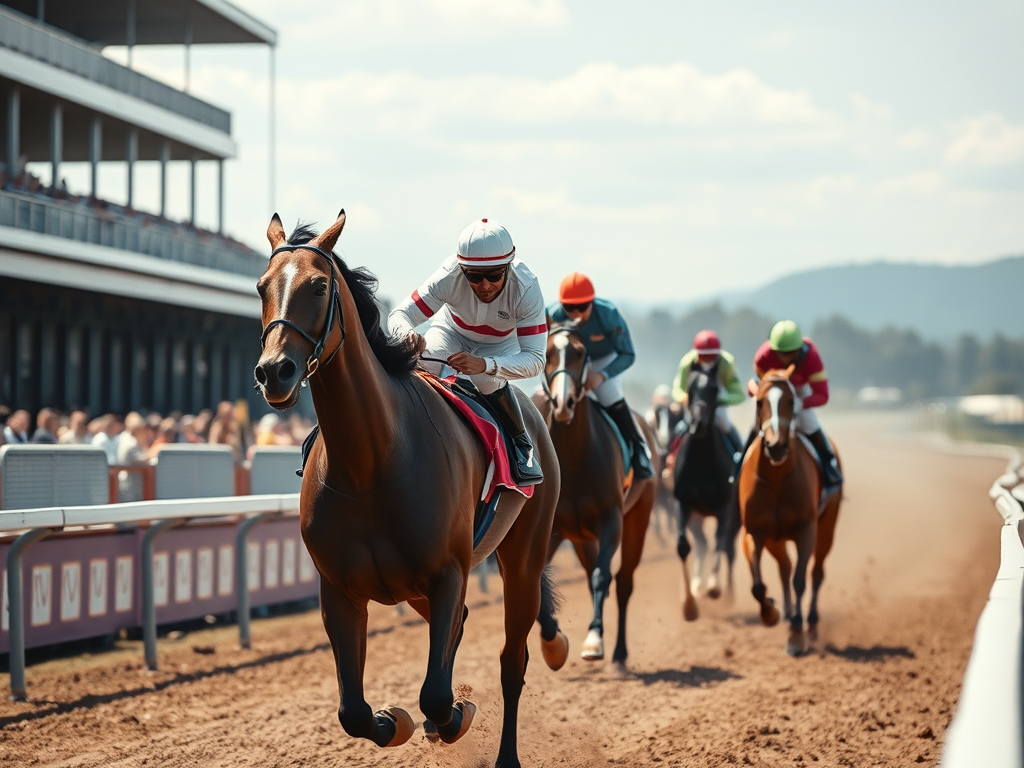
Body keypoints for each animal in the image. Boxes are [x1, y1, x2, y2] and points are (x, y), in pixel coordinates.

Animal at [254, 210, 567, 768]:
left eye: (318, 286)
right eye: (261, 286)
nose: (275, 372)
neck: (370, 465)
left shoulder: (448, 572)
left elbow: (437, 695)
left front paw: (454, 717)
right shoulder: (339, 589)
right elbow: (353, 712)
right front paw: (395, 721)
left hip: (523, 558)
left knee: (513, 660)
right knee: (462, 626)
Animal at [533, 322, 659, 665]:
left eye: (579, 353)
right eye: (548, 351)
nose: (563, 403)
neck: (575, 456)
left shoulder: (611, 520)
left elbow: (605, 577)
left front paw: (593, 641)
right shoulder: (552, 529)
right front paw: (553, 647)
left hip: (639, 518)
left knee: (623, 581)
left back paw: (618, 652)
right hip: (581, 538)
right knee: (591, 575)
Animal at [671, 362, 740, 621]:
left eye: (713, 389)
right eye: (690, 388)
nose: (697, 424)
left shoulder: (725, 506)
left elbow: (720, 540)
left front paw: (714, 587)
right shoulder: (682, 503)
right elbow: (683, 546)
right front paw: (689, 605)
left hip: (736, 515)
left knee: (729, 547)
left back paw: (728, 593)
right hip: (696, 517)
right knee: (700, 543)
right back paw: (697, 585)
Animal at [738, 369, 842, 657]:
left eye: (791, 401)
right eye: (759, 402)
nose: (775, 446)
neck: (776, 479)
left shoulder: (806, 529)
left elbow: (800, 580)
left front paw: (796, 635)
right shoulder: (755, 532)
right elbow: (758, 585)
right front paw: (771, 613)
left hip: (827, 526)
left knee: (816, 573)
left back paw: (812, 625)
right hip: (775, 539)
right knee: (784, 567)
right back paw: (786, 613)